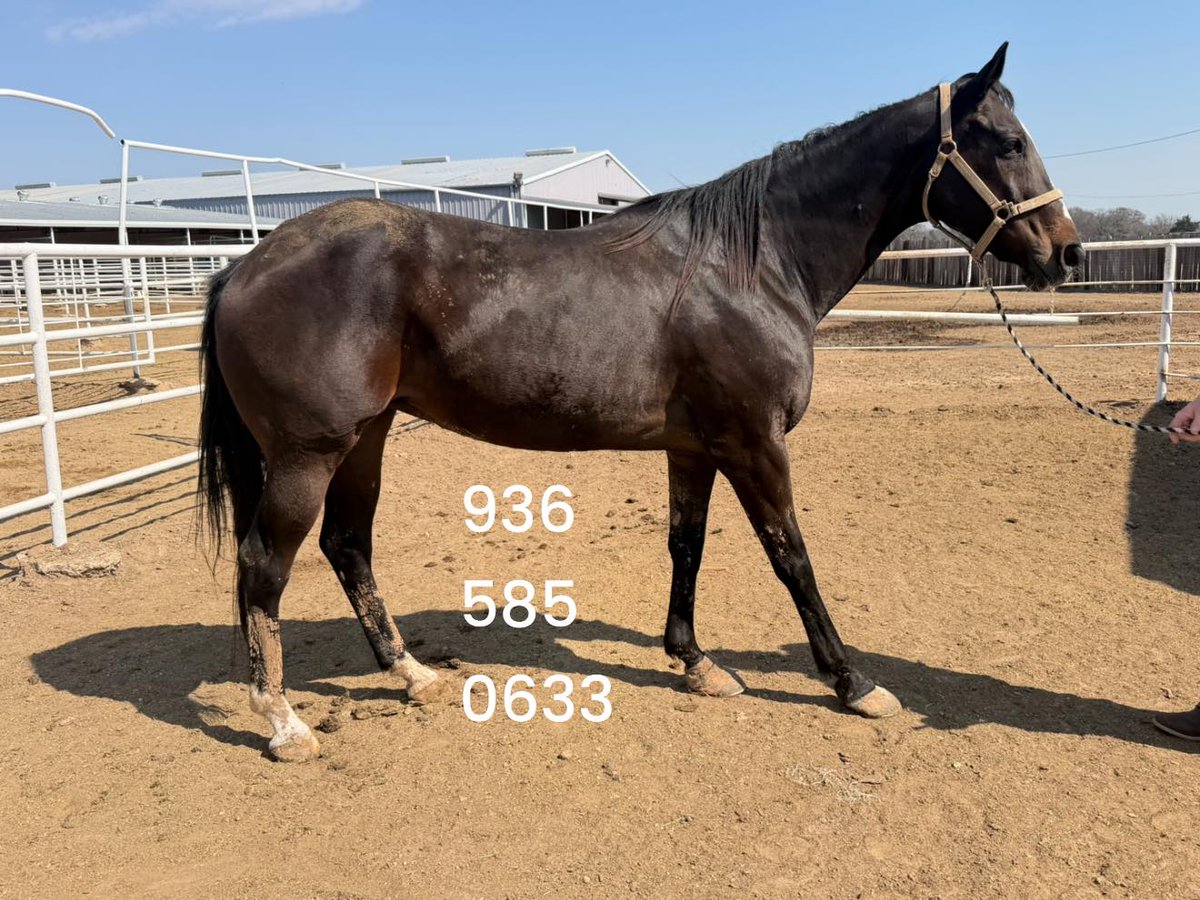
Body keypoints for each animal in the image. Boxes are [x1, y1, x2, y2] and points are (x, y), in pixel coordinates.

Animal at [198, 42, 1082, 761]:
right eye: (1007, 141)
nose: (1065, 252)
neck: (750, 266)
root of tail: (244, 266)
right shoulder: (756, 444)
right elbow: (791, 557)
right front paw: (852, 681)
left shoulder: (695, 447)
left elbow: (685, 546)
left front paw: (695, 662)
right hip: (309, 454)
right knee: (265, 565)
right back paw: (283, 722)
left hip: (367, 439)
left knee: (347, 547)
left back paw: (412, 673)